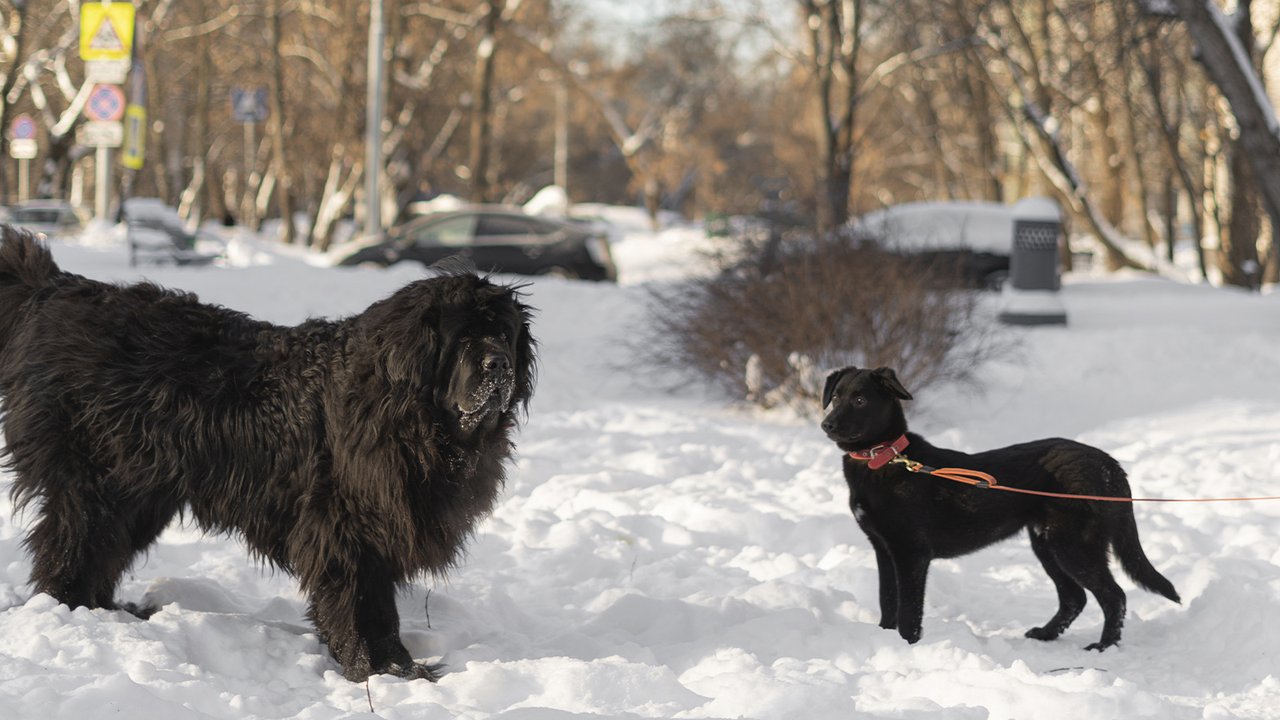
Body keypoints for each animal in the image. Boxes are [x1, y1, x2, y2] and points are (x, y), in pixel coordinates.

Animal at [0, 226, 537, 681]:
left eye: (504, 334)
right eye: (463, 337)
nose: (499, 365)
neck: (412, 418)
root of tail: (59, 289)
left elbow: (376, 606)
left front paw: (393, 668)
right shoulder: (345, 527)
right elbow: (360, 604)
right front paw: (378, 670)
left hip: (141, 490)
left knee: (100, 548)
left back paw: (108, 610)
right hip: (96, 481)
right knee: (73, 544)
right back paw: (72, 610)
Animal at [824, 363, 1172, 650]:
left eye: (860, 400)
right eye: (836, 396)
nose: (826, 424)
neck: (884, 458)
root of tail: (1108, 463)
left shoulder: (911, 554)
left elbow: (908, 613)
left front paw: (907, 648)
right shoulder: (883, 550)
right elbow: (887, 602)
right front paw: (885, 639)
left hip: (1073, 545)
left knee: (1114, 596)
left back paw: (1103, 647)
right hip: (1046, 542)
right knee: (1075, 597)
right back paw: (1046, 634)